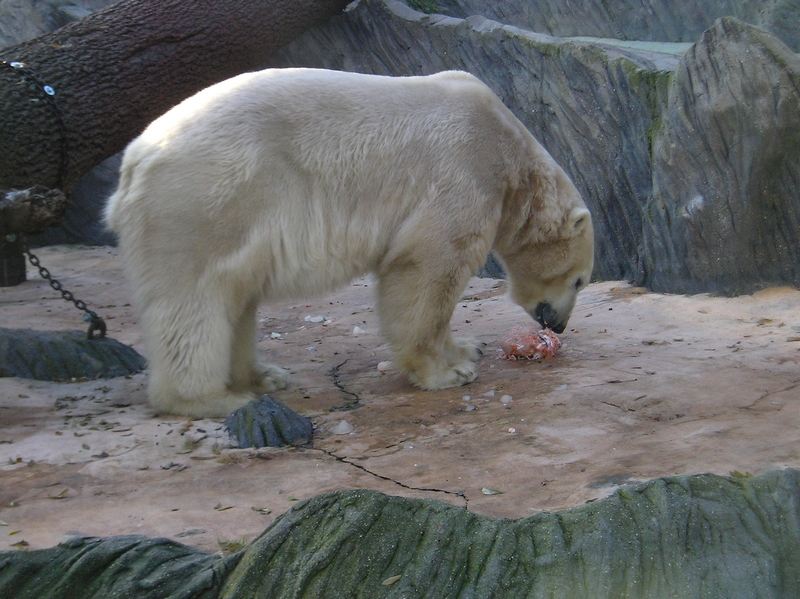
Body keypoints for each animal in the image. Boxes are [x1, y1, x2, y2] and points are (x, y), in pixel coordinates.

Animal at [104, 69, 592, 418]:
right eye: (580, 281)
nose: (558, 326)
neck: (508, 146)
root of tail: (134, 163)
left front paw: (467, 347)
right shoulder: (465, 170)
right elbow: (428, 266)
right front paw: (448, 371)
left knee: (235, 297)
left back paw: (262, 377)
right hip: (209, 201)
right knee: (195, 300)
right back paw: (213, 399)